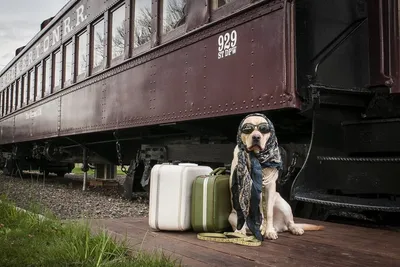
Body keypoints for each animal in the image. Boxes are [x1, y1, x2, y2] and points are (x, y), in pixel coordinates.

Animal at [228, 113, 322, 241]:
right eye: (248, 129)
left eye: (264, 129)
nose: (256, 137)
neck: (257, 158)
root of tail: (279, 226)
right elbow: (241, 211)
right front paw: (239, 231)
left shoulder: (270, 187)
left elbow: (269, 213)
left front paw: (269, 231)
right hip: (230, 216)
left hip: (283, 205)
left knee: (290, 223)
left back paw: (292, 229)